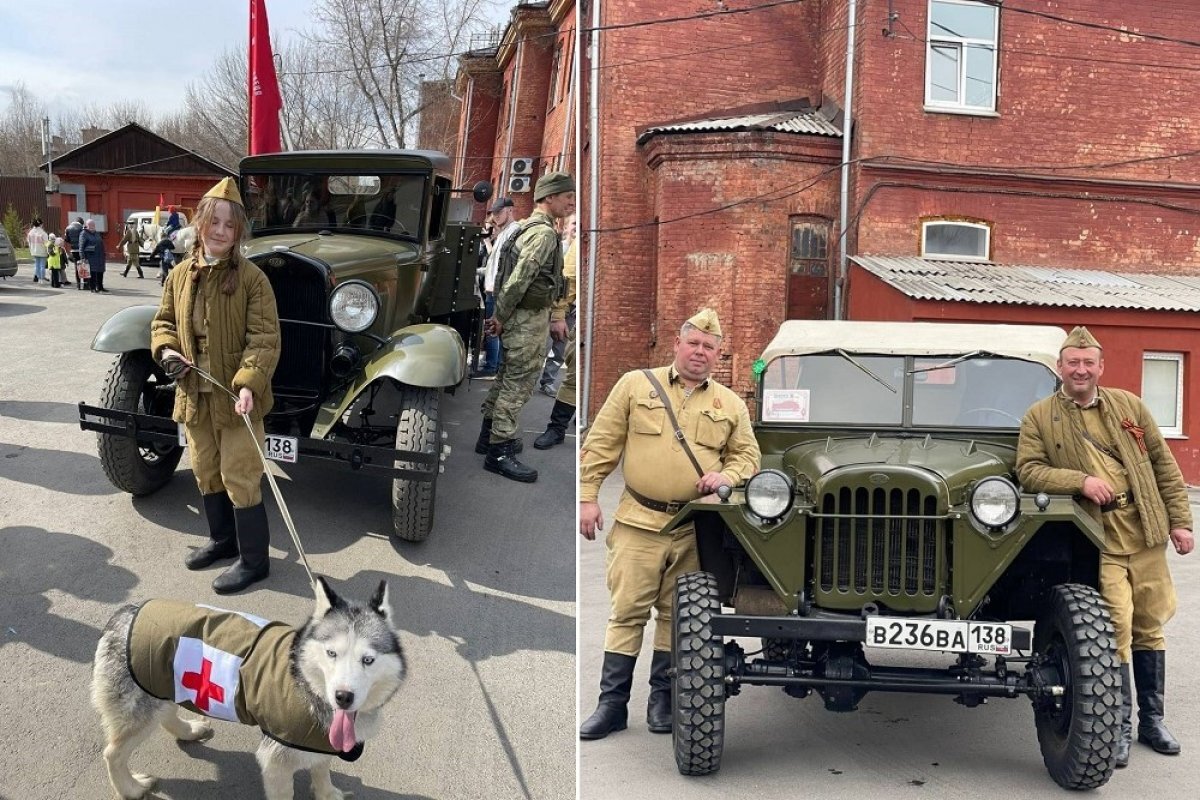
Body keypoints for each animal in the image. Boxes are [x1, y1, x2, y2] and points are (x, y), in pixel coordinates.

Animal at [90, 578, 408, 796]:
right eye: (332, 653)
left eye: (368, 659)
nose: (343, 697)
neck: (303, 678)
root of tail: (124, 613)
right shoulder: (276, 764)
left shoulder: (319, 743)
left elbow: (322, 772)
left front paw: (327, 794)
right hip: (140, 713)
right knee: (112, 754)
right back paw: (131, 789)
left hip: (165, 686)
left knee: (167, 713)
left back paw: (188, 731)